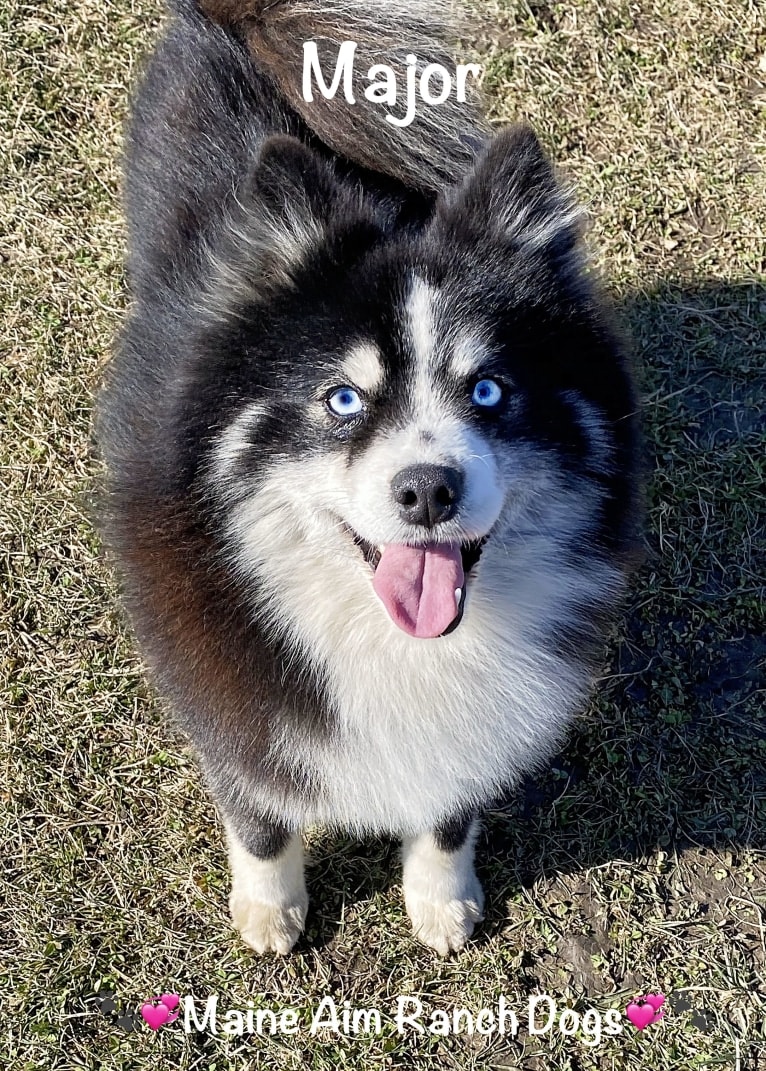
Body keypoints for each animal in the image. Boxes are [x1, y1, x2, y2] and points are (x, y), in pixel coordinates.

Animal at [99, 0, 642, 955]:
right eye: (343, 398)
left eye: (490, 389)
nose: (427, 490)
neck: (393, 642)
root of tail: (234, 20)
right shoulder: (228, 694)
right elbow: (260, 814)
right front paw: (270, 910)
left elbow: (450, 811)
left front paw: (441, 899)